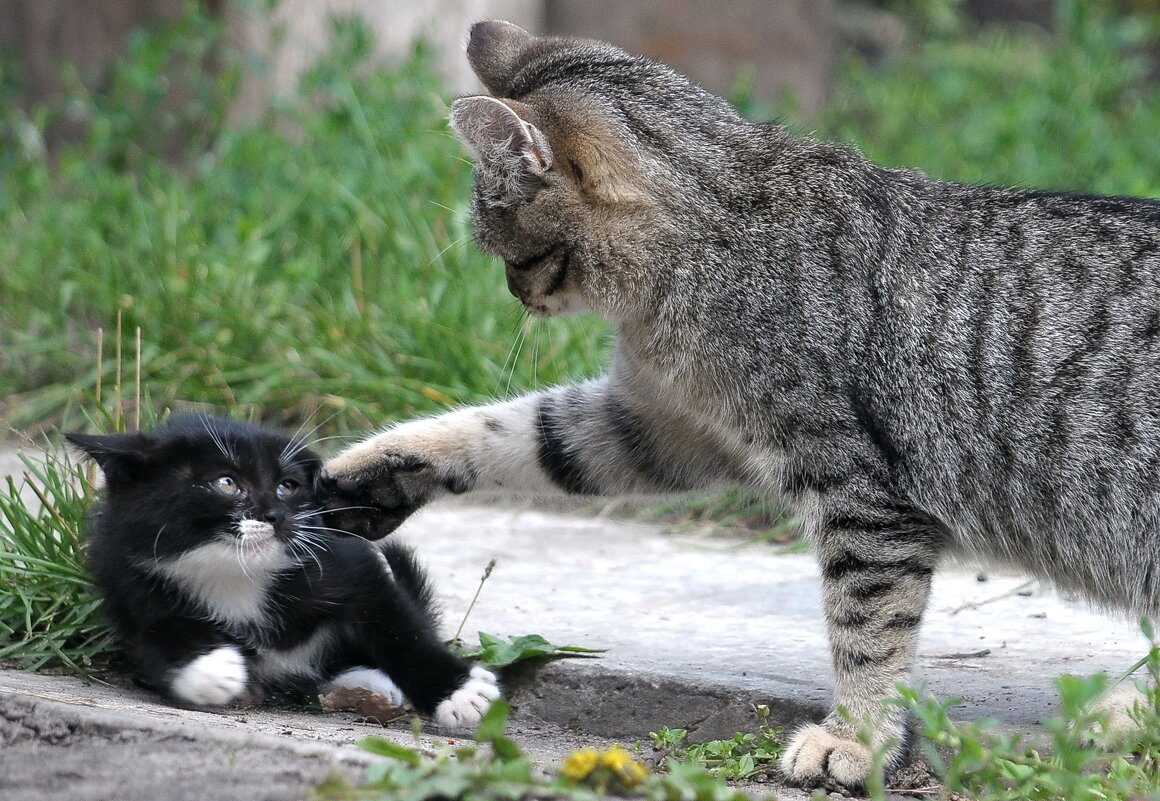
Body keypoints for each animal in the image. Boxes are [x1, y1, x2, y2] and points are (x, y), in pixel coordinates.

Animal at [65, 412, 496, 727]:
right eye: (226, 482)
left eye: (288, 486)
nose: (275, 516)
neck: (235, 574)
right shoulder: (129, 577)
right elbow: (156, 630)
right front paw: (210, 670)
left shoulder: (346, 563)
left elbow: (400, 631)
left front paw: (460, 692)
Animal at [324, 20, 1160, 788]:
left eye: (513, 252)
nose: (514, 293)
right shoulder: (654, 425)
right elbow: (508, 430)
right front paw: (373, 468)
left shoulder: (861, 496)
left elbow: (867, 624)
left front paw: (856, 736)